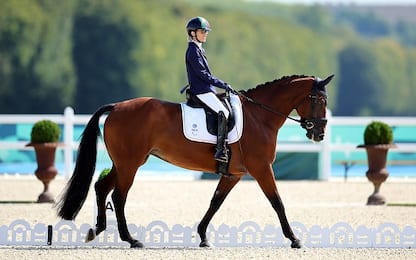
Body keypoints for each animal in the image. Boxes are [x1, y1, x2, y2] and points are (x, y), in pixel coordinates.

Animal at [56, 74, 334, 249]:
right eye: (320, 101)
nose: (319, 135)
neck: (260, 116)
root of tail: (116, 107)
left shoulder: (235, 174)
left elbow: (215, 202)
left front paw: (202, 236)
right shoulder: (262, 169)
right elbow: (277, 202)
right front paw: (294, 238)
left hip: (125, 163)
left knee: (102, 187)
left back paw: (97, 230)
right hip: (130, 165)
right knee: (118, 196)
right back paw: (131, 239)